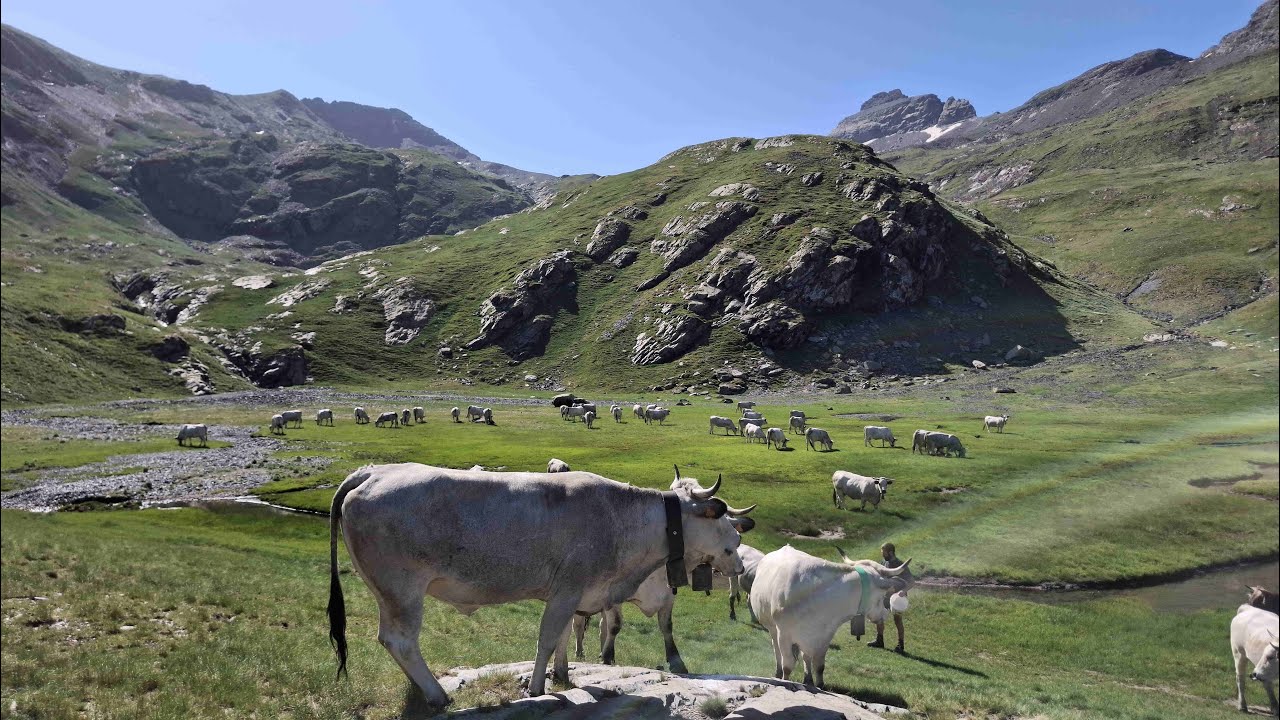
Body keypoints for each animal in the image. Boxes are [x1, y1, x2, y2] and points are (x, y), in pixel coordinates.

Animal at [326, 464, 748, 707]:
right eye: (722, 518)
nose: (741, 555)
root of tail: (372, 472)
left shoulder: (572, 593)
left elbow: (562, 636)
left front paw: (562, 675)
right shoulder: (568, 587)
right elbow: (546, 638)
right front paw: (535, 689)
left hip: (386, 591)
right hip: (402, 589)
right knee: (399, 640)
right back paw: (436, 694)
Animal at [750, 545, 913, 688]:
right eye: (883, 594)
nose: (885, 614)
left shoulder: (825, 636)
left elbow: (819, 665)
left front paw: (819, 685)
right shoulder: (784, 635)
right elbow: (787, 666)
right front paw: (786, 681)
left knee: (806, 656)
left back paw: (808, 680)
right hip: (773, 628)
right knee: (777, 651)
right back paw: (778, 673)